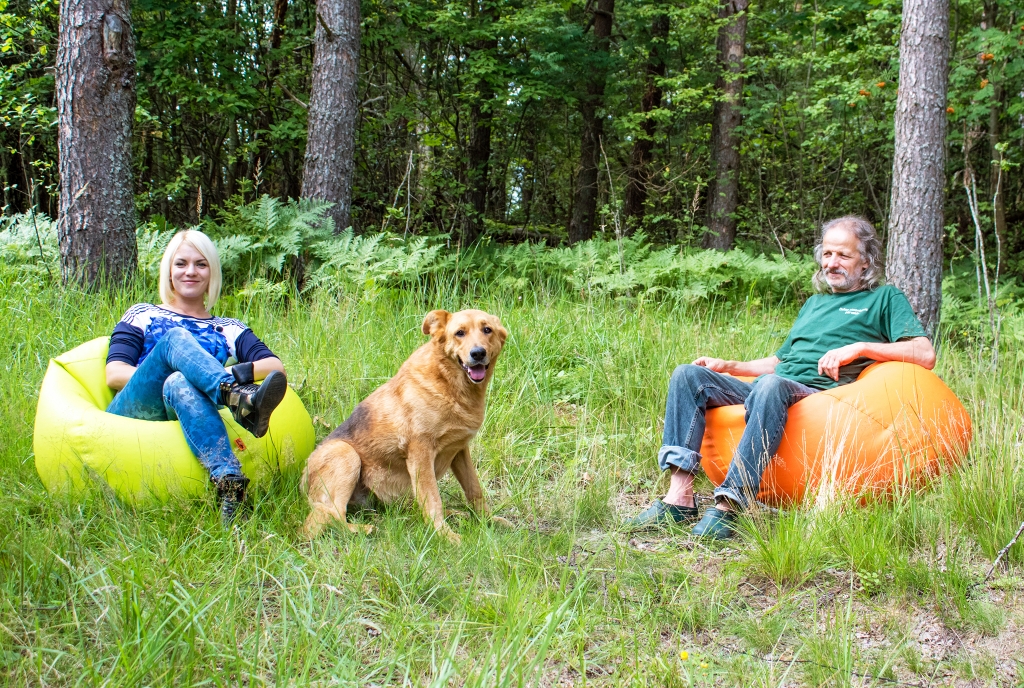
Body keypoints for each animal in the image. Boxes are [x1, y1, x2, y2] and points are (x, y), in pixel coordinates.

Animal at [301, 307, 509, 544]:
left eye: (487, 330)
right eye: (459, 333)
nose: (478, 353)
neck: (450, 386)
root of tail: (302, 481)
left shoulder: (459, 450)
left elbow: (474, 490)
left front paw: (488, 520)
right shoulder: (420, 453)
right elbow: (433, 499)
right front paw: (444, 535)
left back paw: (457, 514)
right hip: (346, 454)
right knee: (332, 514)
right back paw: (363, 529)